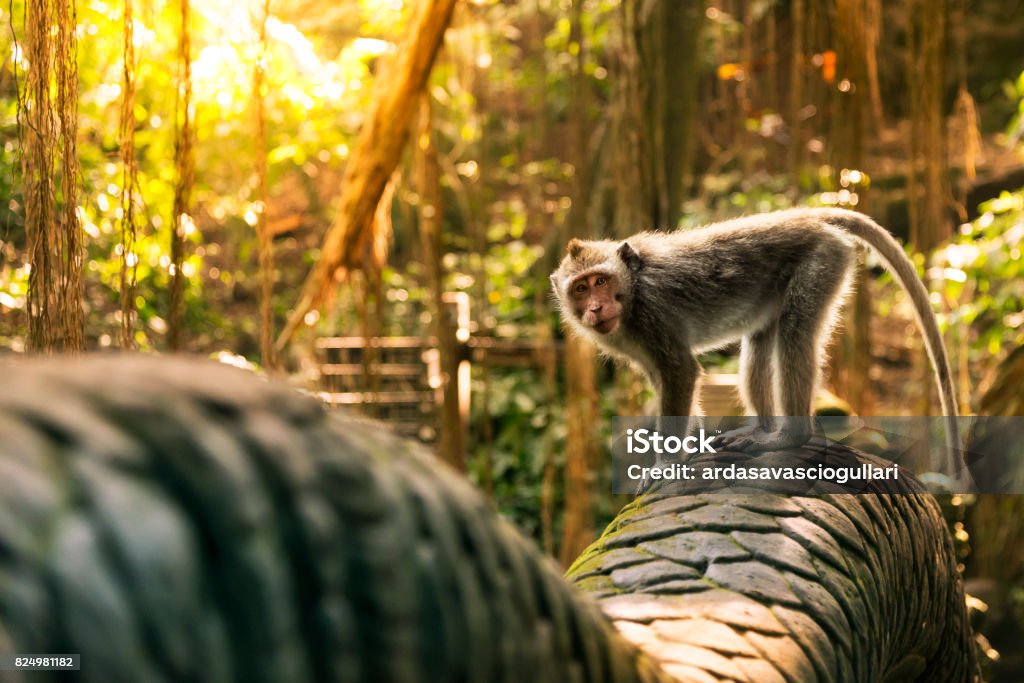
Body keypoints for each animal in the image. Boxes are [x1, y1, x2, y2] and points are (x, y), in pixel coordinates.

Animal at [552, 206, 958, 481]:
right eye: (580, 288)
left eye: (601, 281)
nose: (595, 308)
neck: (632, 292)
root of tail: (806, 216)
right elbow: (664, 379)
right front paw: (688, 446)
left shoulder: (653, 315)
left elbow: (680, 372)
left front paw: (666, 464)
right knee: (759, 341)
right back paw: (761, 429)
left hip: (821, 261)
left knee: (795, 333)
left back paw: (788, 437)